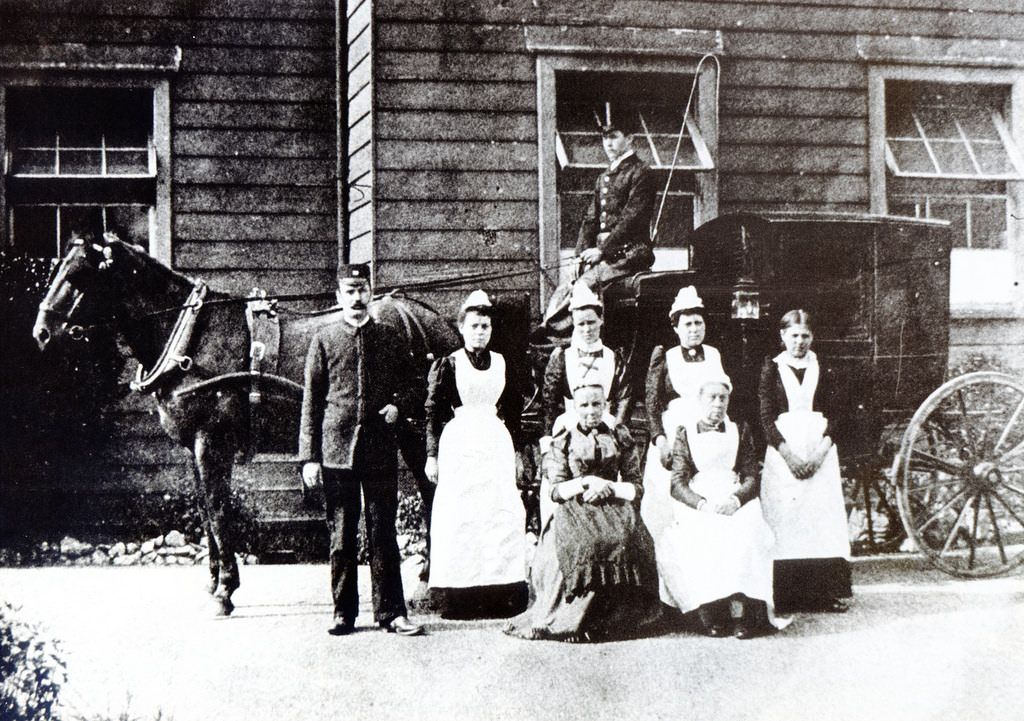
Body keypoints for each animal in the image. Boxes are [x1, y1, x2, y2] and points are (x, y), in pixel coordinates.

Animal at [34, 233, 460, 618]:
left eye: (77, 276)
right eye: (57, 269)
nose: (41, 333)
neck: (190, 335)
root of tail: (436, 322)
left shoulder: (211, 442)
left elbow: (219, 511)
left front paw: (225, 590)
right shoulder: (193, 449)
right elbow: (205, 510)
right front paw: (212, 582)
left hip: (417, 430)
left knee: (431, 491)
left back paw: (428, 582)